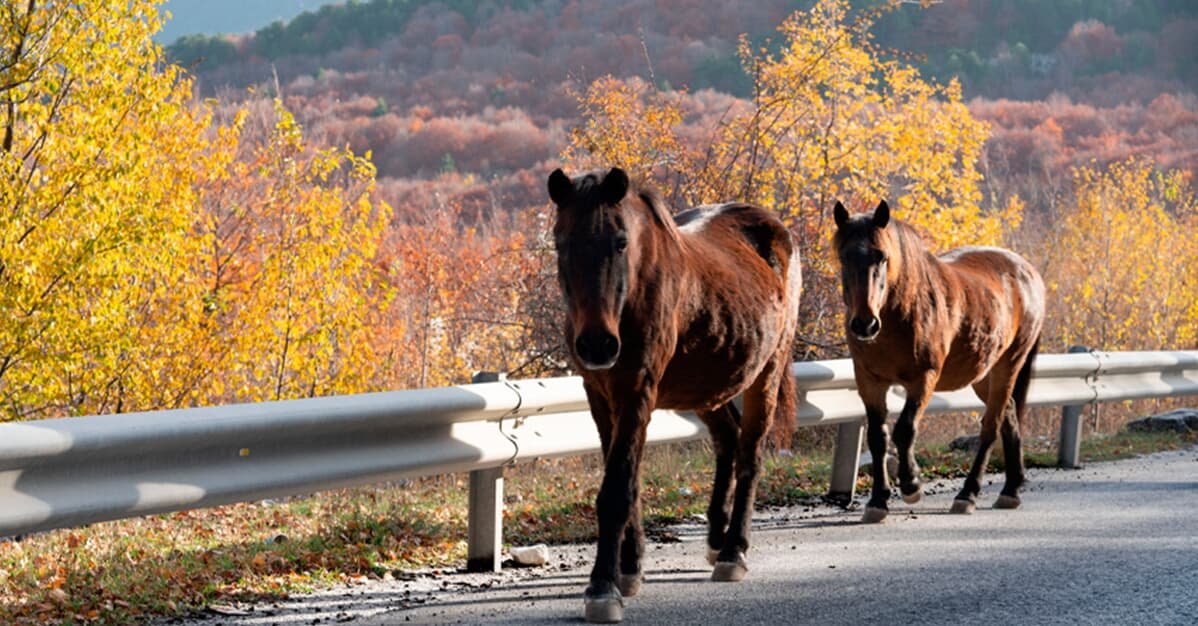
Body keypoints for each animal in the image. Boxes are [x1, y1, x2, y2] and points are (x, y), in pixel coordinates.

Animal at [548, 168, 800, 622]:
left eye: (621, 241)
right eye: (561, 242)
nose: (596, 345)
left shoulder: (637, 392)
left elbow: (617, 489)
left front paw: (603, 587)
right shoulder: (600, 396)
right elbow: (627, 482)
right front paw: (629, 568)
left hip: (767, 372)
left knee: (750, 456)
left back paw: (733, 552)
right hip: (708, 387)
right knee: (728, 440)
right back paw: (716, 538)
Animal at [838, 202, 1044, 524]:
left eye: (881, 256)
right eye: (844, 256)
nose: (865, 324)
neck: (902, 311)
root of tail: (1028, 272)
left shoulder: (924, 378)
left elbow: (905, 429)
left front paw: (911, 485)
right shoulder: (869, 381)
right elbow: (877, 437)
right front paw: (878, 501)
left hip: (1008, 365)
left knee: (991, 426)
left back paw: (967, 494)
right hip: (984, 375)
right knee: (1009, 415)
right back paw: (1010, 490)